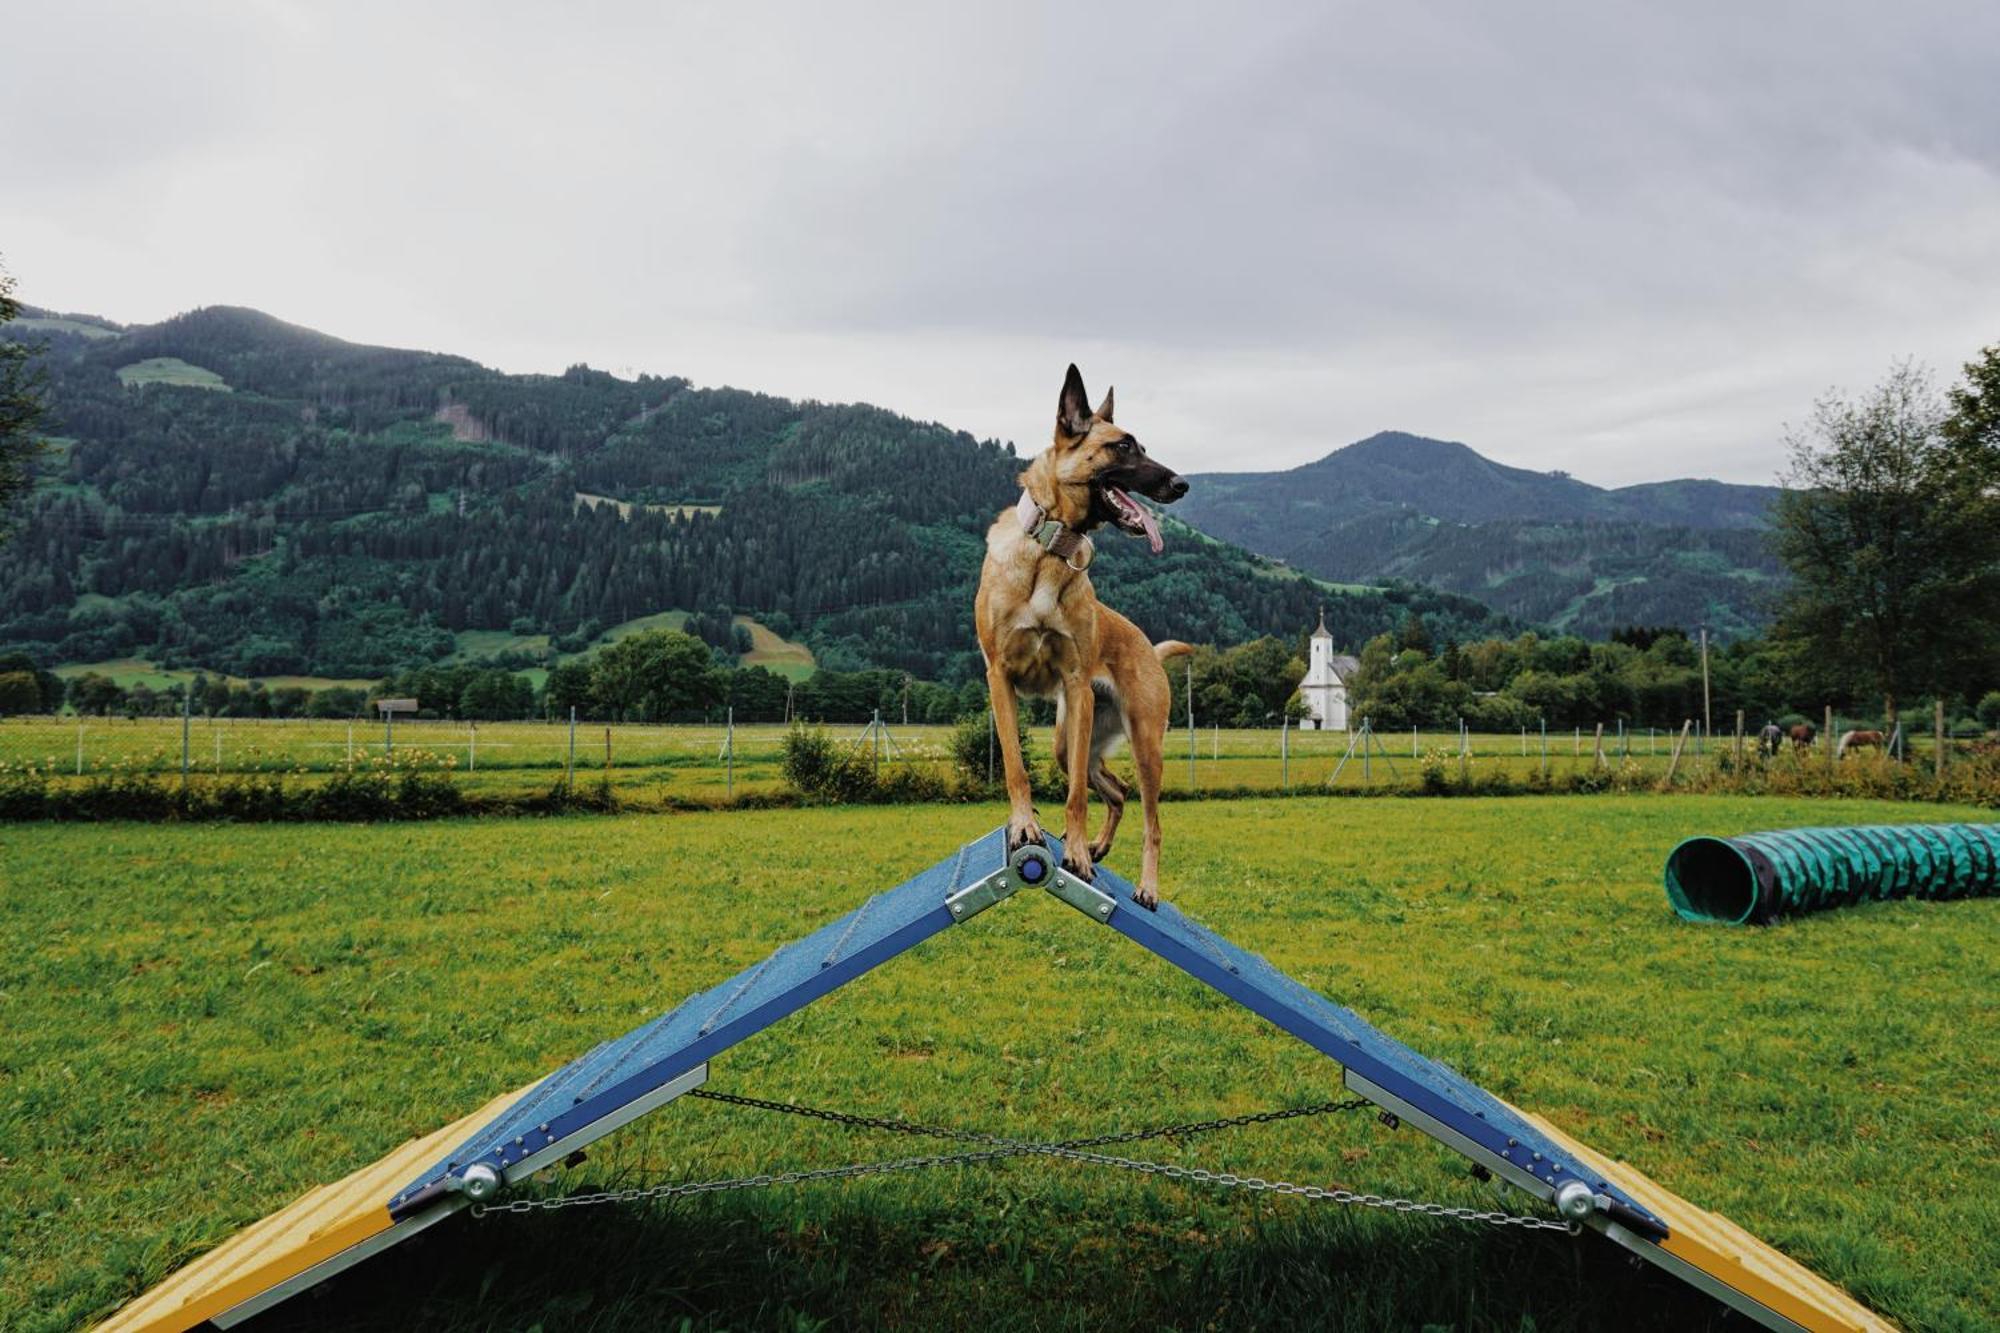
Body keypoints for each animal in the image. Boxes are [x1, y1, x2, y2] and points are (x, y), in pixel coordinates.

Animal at [972, 364, 1184, 904]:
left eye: (1142, 445)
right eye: (1123, 447)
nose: (1182, 483)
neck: (1051, 548)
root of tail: (1149, 648)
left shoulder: (1076, 683)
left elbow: (1074, 801)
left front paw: (1076, 855)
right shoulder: (999, 678)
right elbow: (1015, 766)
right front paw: (1025, 826)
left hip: (1141, 741)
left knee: (1152, 820)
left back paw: (1144, 885)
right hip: (1071, 745)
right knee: (1117, 790)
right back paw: (1099, 844)